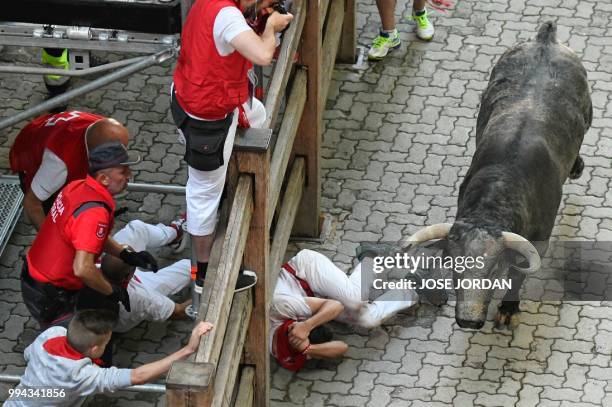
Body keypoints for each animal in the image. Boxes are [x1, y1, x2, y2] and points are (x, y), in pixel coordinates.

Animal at [406, 22, 592, 330]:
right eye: (454, 266)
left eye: (493, 269)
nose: (468, 320)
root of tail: (545, 39)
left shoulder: (539, 242)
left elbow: (517, 275)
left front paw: (509, 308)